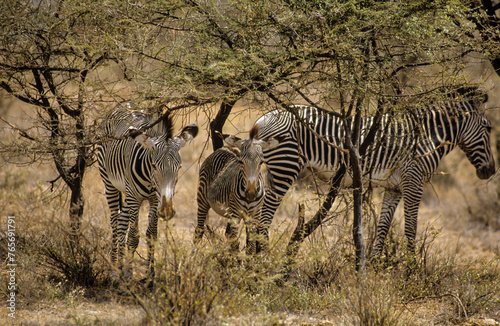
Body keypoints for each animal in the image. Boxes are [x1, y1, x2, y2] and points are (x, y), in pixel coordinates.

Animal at [96, 105, 198, 278]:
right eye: (154, 166)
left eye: (179, 168)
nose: (167, 210)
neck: (150, 181)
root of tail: (124, 105)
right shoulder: (135, 197)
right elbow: (133, 237)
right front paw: (129, 275)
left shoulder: (155, 199)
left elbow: (151, 235)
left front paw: (150, 276)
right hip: (110, 183)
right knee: (115, 222)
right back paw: (114, 270)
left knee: (122, 222)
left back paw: (120, 266)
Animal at [254, 88, 496, 256]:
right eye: (488, 127)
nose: (491, 170)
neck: (427, 138)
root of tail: (262, 119)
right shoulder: (414, 182)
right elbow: (411, 229)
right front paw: (411, 273)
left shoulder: (394, 187)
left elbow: (383, 228)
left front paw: (375, 267)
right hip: (285, 167)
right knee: (265, 217)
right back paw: (262, 257)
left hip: (268, 169)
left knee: (256, 212)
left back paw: (253, 256)